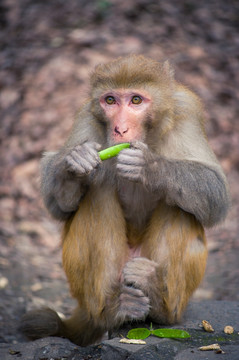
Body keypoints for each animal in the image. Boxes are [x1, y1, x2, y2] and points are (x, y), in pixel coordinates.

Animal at [20, 55, 230, 346]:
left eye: (136, 100)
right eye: (110, 100)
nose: (120, 129)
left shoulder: (187, 112)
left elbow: (216, 191)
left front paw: (151, 168)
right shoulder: (86, 117)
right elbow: (58, 206)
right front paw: (75, 163)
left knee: (180, 204)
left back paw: (158, 297)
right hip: (93, 286)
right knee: (97, 190)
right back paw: (114, 308)